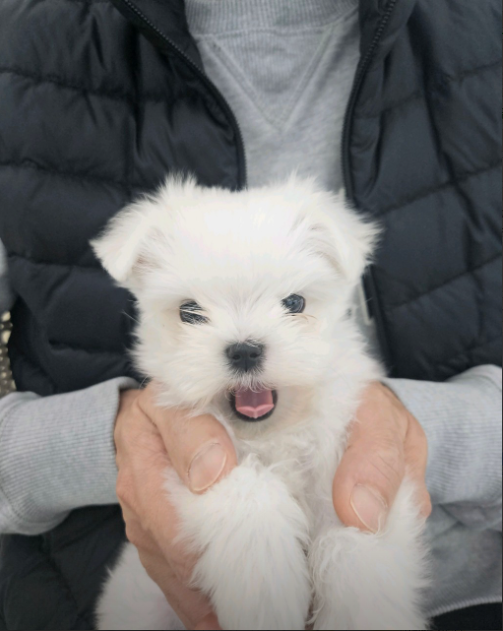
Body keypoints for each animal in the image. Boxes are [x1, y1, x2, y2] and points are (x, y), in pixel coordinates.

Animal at [92, 176, 428, 630]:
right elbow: (249, 496)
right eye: (189, 311)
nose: (245, 350)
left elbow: (355, 541)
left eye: (295, 303)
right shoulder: (193, 467)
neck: (273, 435)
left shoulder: (350, 478)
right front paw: (267, 593)